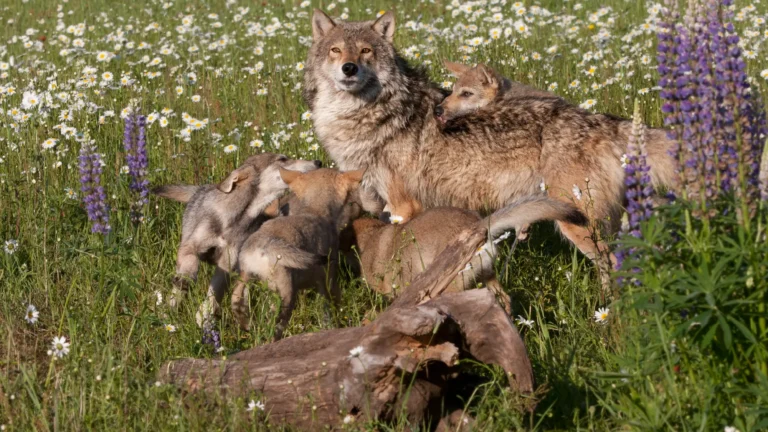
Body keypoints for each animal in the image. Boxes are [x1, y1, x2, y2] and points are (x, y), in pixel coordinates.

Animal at [152, 153, 322, 325]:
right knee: (175, 293)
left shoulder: (228, 262)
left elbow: (215, 292)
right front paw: (187, 282)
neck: (235, 219)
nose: (318, 162)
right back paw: (169, 310)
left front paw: (204, 316)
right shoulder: (190, 246)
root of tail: (200, 188)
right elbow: (191, 264)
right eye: (282, 159)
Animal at [231, 168, 364, 340]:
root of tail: (264, 245)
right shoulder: (328, 281)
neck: (315, 211)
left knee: (236, 301)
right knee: (272, 328)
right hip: (285, 297)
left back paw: (246, 326)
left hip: (246, 279)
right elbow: (332, 311)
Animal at [303, 9, 679, 287]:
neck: (369, 114)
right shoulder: (382, 203)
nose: (348, 68)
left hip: (580, 226)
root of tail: (600, 120)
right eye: (337, 50)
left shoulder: (402, 206)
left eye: (365, 50)